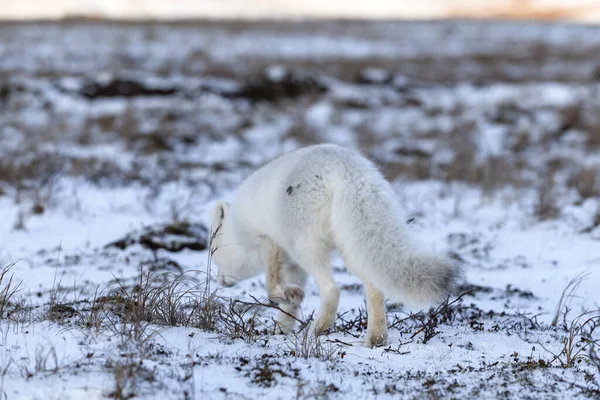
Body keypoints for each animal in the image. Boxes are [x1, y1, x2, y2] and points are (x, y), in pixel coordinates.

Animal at [211, 145, 464, 346]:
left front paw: (284, 300)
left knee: (332, 289)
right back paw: (376, 339)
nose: (220, 281)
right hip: (353, 245)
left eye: (214, 252)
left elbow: (272, 283)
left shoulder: (268, 242)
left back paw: (318, 330)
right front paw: (281, 326)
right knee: (374, 289)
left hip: (307, 245)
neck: (236, 227)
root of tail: (349, 171)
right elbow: (290, 304)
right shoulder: (293, 265)